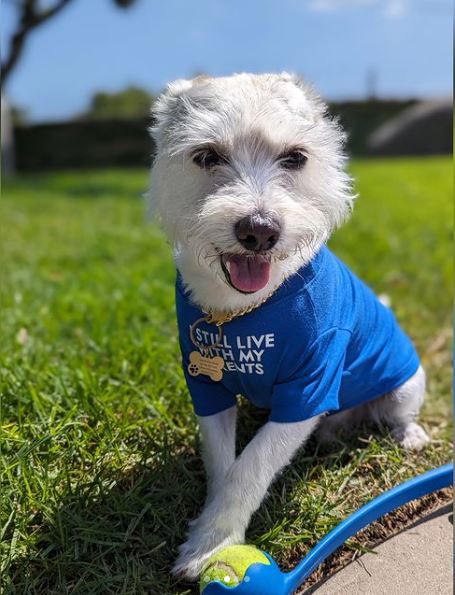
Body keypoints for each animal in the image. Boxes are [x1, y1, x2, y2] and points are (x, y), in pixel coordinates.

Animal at [148, 72, 430, 580]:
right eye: (207, 156)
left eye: (296, 158)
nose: (259, 230)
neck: (243, 311)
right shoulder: (207, 387)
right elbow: (224, 462)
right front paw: (213, 523)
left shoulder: (310, 387)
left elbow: (252, 466)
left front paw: (211, 544)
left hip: (404, 384)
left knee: (399, 411)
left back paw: (408, 434)